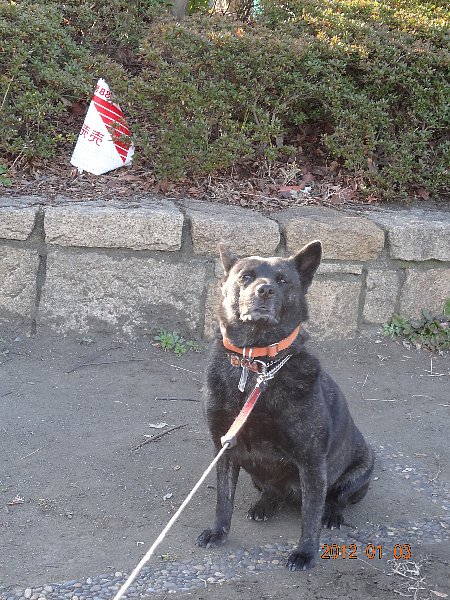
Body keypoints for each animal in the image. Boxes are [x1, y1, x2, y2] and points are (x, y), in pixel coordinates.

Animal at [195, 241, 374, 568]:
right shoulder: (225, 449)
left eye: (282, 280)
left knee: (334, 499)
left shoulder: (311, 460)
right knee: (271, 491)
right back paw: (265, 505)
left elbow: (311, 513)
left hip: (361, 470)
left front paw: (305, 552)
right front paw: (218, 532)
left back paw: (333, 514)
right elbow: (223, 500)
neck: (257, 363)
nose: (264, 290)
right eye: (245, 277)